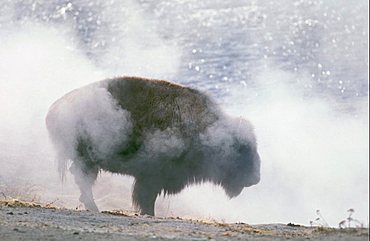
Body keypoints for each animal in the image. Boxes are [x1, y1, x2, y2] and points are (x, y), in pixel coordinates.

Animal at [46, 76, 260, 215]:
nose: (256, 178)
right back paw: (94, 208)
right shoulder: (151, 178)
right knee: (83, 180)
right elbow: (146, 198)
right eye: (242, 150)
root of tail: (54, 110)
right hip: (87, 160)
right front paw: (148, 213)